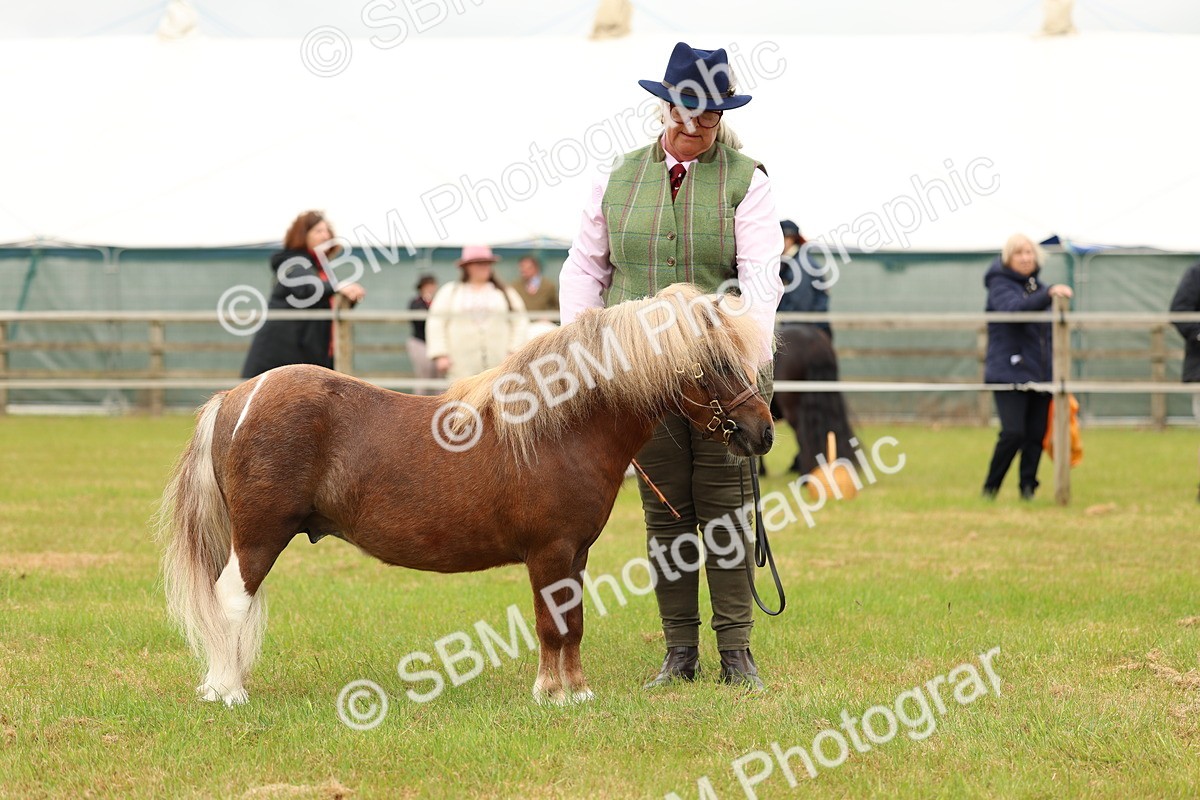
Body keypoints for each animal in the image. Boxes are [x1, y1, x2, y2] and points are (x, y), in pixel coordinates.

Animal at [156, 284, 775, 707]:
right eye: (713, 364)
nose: (762, 433)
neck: (561, 427)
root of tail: (238, 397)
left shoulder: (575, 553)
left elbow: (573, 622)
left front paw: (577, 692)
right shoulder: (549, 552)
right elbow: (551, 623)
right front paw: (551, 694)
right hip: (259, 536)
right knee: (230, 600)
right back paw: (228, 691)